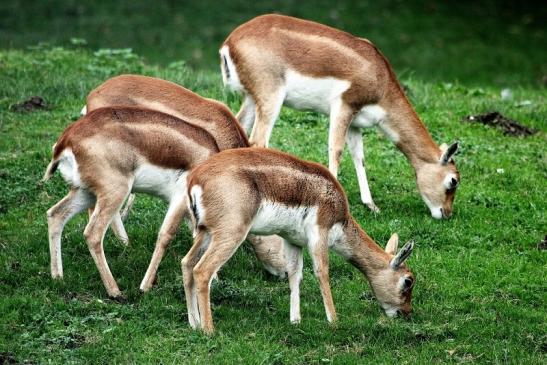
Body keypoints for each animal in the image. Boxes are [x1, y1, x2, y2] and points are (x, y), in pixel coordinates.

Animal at [183, 147, 416, 332]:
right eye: (408, 280)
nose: (406, 312)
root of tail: (195, 180)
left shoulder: (293, 241)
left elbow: (295, 275)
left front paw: (295, 320)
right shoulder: (319, 233)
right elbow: (322, 272)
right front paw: (334, 321)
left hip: (205, 232)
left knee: (187, 263)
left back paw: (194, 324)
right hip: (230, 233)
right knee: (202, 270)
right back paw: (209, 330)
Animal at [220, 14, 460, 218]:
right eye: (453, 181)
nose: (446, 214)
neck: (380, 79)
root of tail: (229, 43)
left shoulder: (356, 123)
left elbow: (359, 157)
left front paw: (371, 205)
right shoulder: (343, 106)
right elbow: (336, 150)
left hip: (251, 99)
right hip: (271, 98)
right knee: (259, 140)